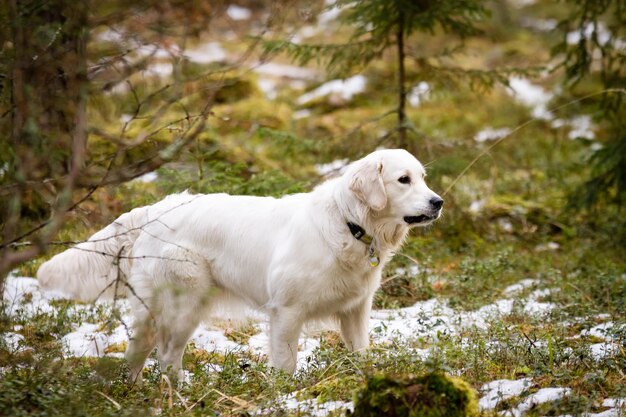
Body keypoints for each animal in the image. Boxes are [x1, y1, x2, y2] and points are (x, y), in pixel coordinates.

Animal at [36, 148, 442, 382]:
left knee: (141, 351)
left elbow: (361, 354)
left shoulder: (355, 311)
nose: (438, 202)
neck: (349, 223)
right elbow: (286, 365)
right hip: (183, 303)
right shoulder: (287, 313)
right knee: (166, 356)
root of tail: (155, 209)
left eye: (423, 177)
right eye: (403, 180)